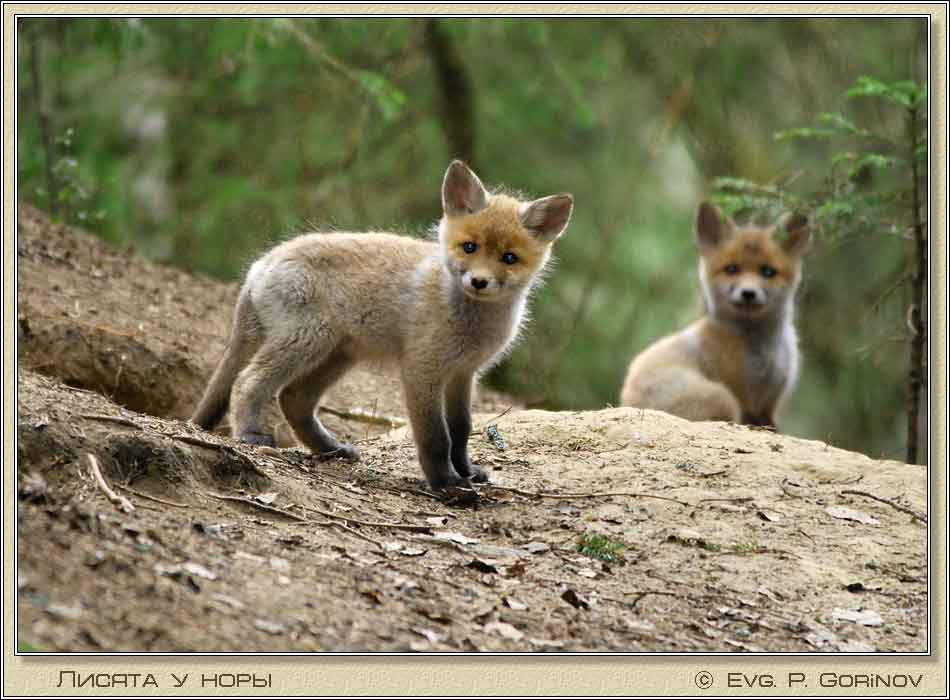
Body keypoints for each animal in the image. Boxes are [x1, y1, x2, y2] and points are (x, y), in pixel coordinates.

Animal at [191, 160, 573, 491]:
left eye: (509, 258)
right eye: (469, 247)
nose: (479, 282)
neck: (471, 320)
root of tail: (262, 263)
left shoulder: (463, 374)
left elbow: (461, 431)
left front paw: (465, 471)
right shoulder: (422, 368)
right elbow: (436, 436)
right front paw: (445, 483)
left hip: (338, 356)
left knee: (293, 398)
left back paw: (330, 448)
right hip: (305, 342)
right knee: (248, 382)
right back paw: (251, 435)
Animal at [620, 201, 811, 428]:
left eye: (768, 272)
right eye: (732, 269)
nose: (748, 293)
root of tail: (626, 403)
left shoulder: (769, 404)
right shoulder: (742, 395)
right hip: (722, 397)